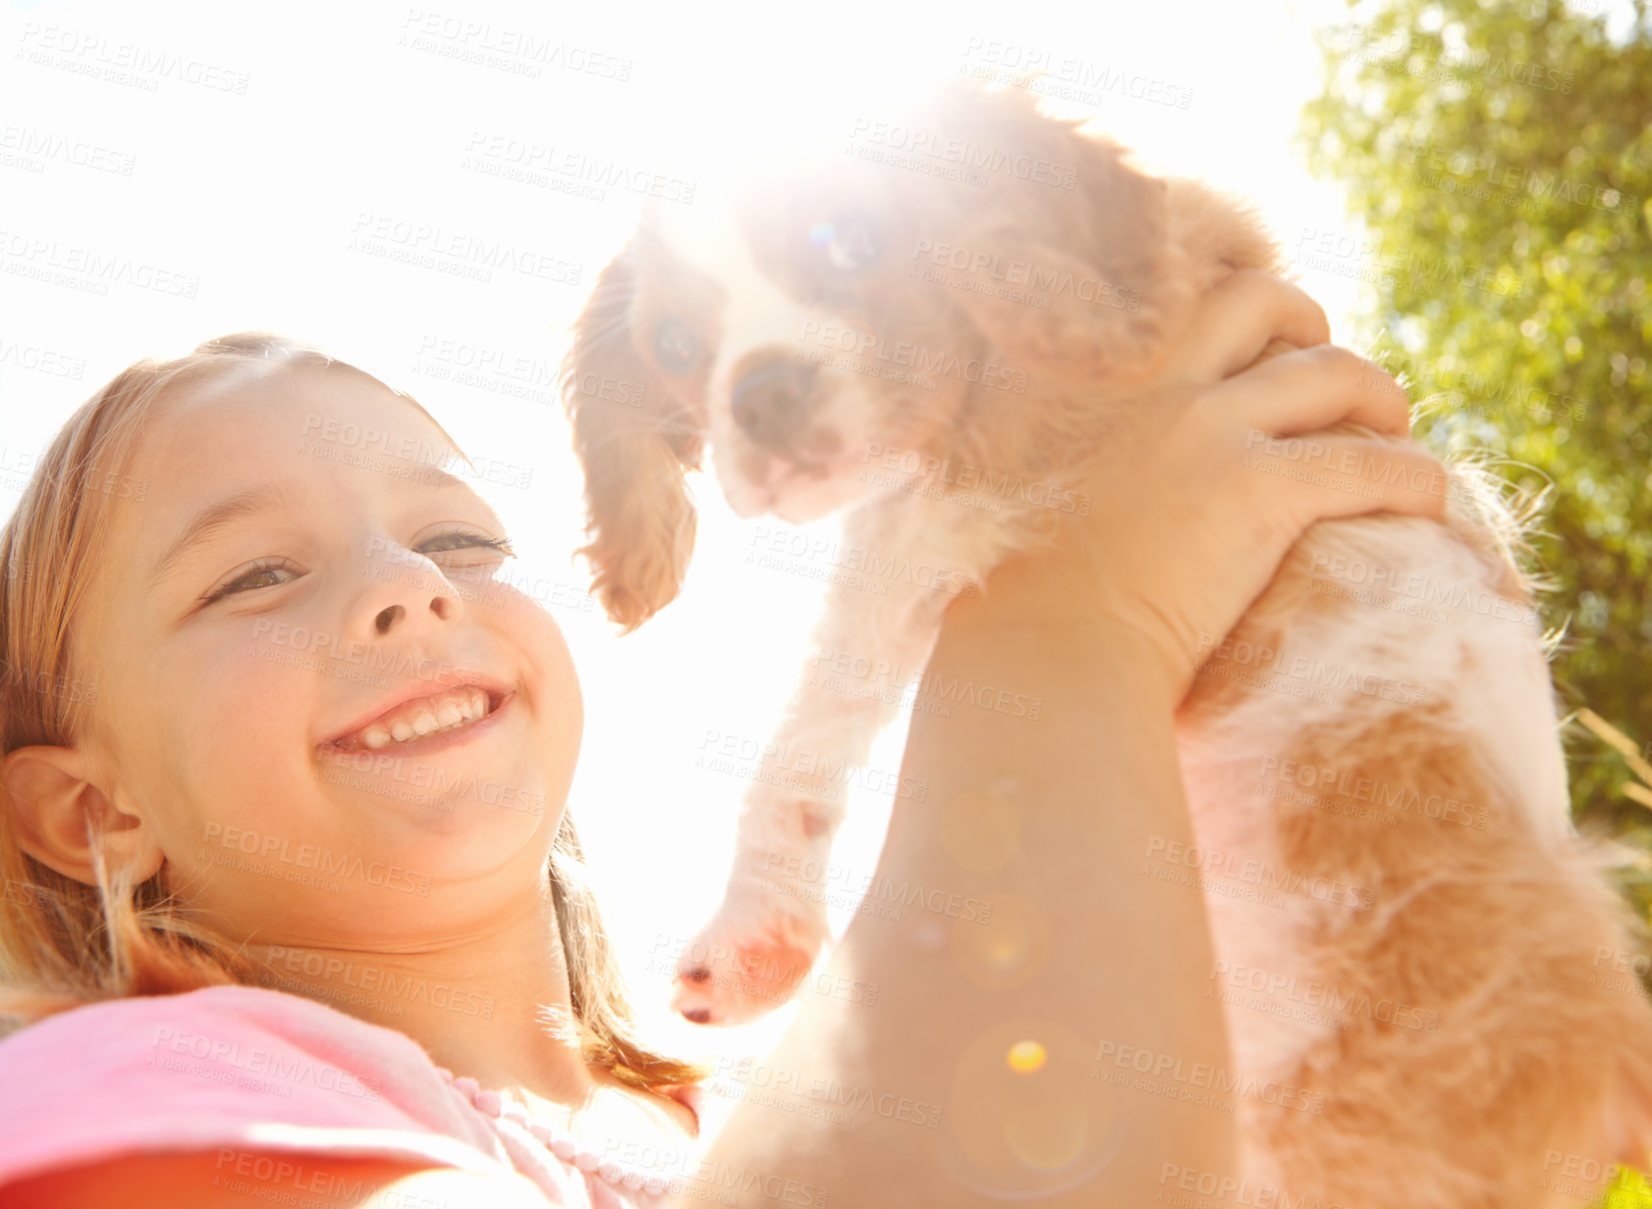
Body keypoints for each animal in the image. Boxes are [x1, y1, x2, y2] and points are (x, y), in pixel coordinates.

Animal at [561, 80, 1652, 1202]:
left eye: (853, 241)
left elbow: (819, 689)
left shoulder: (978, 479)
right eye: (676, 348)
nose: (763, 393)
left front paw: (752, 927)